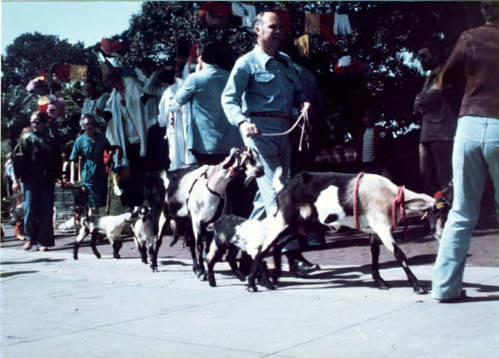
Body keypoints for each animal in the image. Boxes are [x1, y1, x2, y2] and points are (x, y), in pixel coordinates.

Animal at [154, 147, 266, 276]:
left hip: (188, 222)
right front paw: (203, 273)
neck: (212, 185)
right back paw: (154, 265)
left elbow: (208, 246)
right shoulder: (197, 221)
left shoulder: (211, 223)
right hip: (165, 216)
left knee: (190, 243)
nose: (261, 170)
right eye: (249, 158)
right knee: (158, 239)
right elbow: (199, 246)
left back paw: (195, 268)